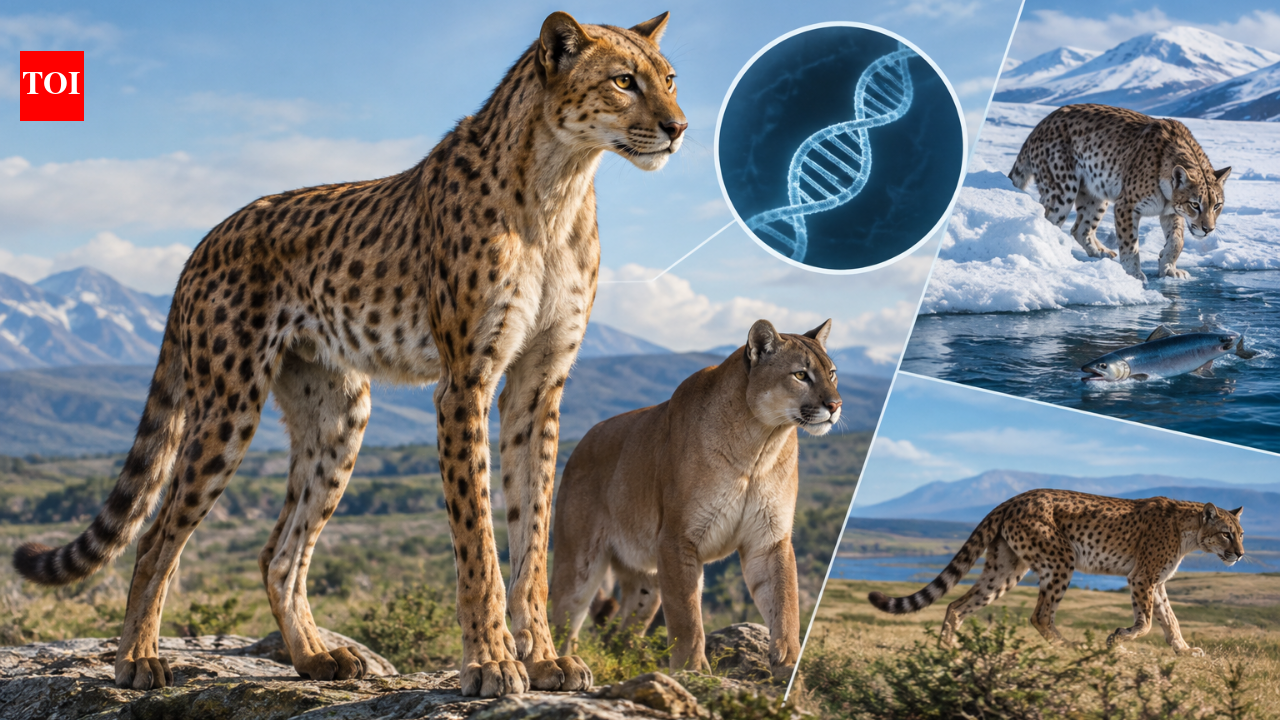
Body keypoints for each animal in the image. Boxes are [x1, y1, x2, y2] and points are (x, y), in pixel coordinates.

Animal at [12, 10, 686, 698]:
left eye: (669, 79)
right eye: (624, 81)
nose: (678, 128)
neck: (560, 178)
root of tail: (207, 237)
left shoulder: (537, 385)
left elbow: (533, 535)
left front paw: (545, 659)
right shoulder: (465, 381)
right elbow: (478, 541)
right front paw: (491, 663)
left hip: (340, 416)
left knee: (278, 552)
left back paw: (314, 657)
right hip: (228, 406)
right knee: (156, 540)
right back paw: (138, 659)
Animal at [549, 319, 842, 680]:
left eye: (832, 374)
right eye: (801, 374)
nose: (835, 406)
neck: (760, 445)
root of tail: (580, 444)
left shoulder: (769, 539)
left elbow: (785, 605)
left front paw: (788, 665)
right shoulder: (678, 539)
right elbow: (687, 617)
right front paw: (694, 670)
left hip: (648, 581)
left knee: (622, 631)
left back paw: (632, 664)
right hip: (579, 563)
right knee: (563, 622)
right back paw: (569, 667)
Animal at [868, 489, 1246, 656]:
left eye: (1241, 533)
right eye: (1227, 534)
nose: (1241, 554)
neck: (1191, 529)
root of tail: (1017, 497)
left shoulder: (1157, 583)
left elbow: (1170, 619)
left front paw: (1184, 650)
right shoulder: (1142, 578)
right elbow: (1147, 622)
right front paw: (1117, 640)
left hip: (1006, 569)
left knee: (956, 605)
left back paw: (947, 650)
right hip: (1061, 559)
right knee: (1040, 615)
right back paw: (1072, 646)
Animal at [1009, 103, 1231, 282]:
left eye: (1217, 205)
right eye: (1195, 204)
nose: (1208, 229)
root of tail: (1043, 122)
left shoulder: (1170, 213)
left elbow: (1177, 241)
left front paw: (1168, 268)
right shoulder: (1127, 205)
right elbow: (1130, 243)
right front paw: (1133, 274)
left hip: (1096, 195)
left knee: (1080, 229)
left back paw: (1101, 253)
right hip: (1062, 191)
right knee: (1048, 223)